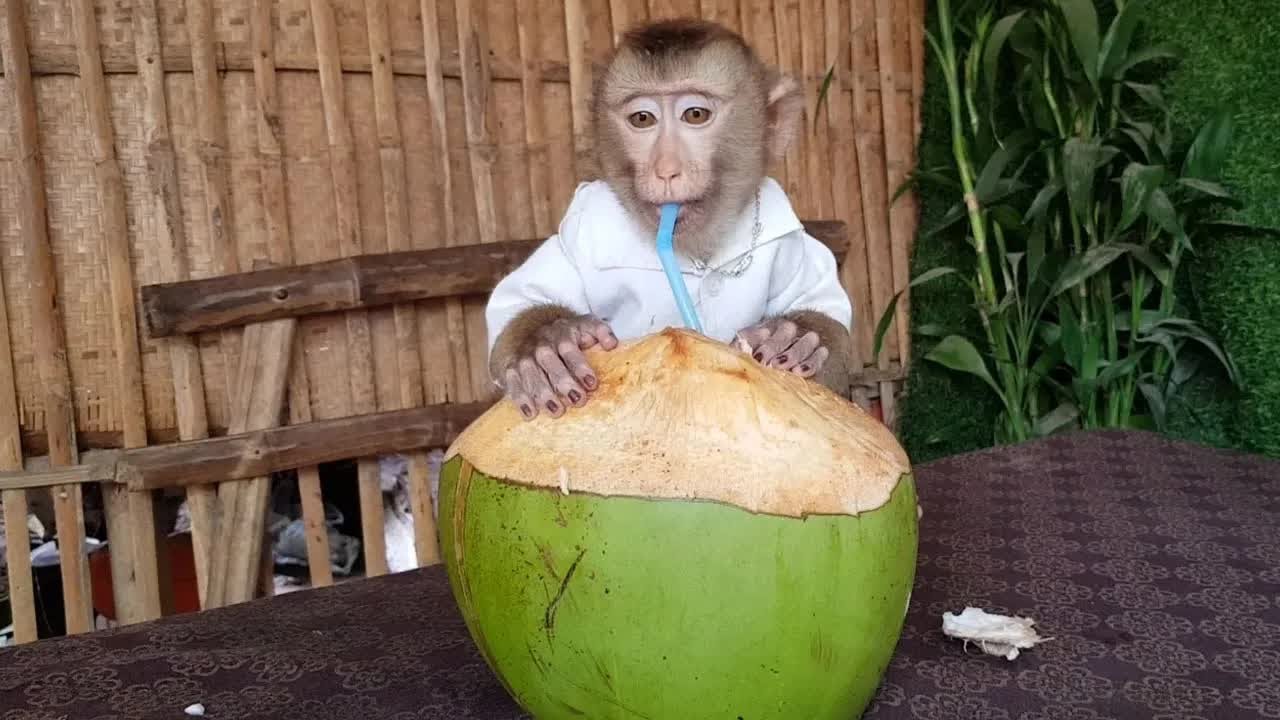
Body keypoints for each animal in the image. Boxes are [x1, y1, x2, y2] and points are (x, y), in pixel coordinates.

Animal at [485, 18, 853, 421]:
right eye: (642, 119)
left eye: (695, 115)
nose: (665, 170)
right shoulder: (579, 226)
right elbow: (519, 298)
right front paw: (547, 341)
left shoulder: (791, 241)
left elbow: (827, 310)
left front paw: (796, 337)